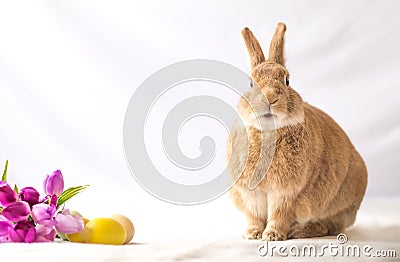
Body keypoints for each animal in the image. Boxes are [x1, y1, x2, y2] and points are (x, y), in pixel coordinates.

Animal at [227, 23, 368, 241]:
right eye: (251, 82)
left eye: (287, 80)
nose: (270, 98)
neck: (268, 132)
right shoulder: (250, 194)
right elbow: (255, 216)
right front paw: (252, 234)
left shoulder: (286, 193)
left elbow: (279, 215)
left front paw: (272, 236)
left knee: (329, 226)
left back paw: (299, 231)